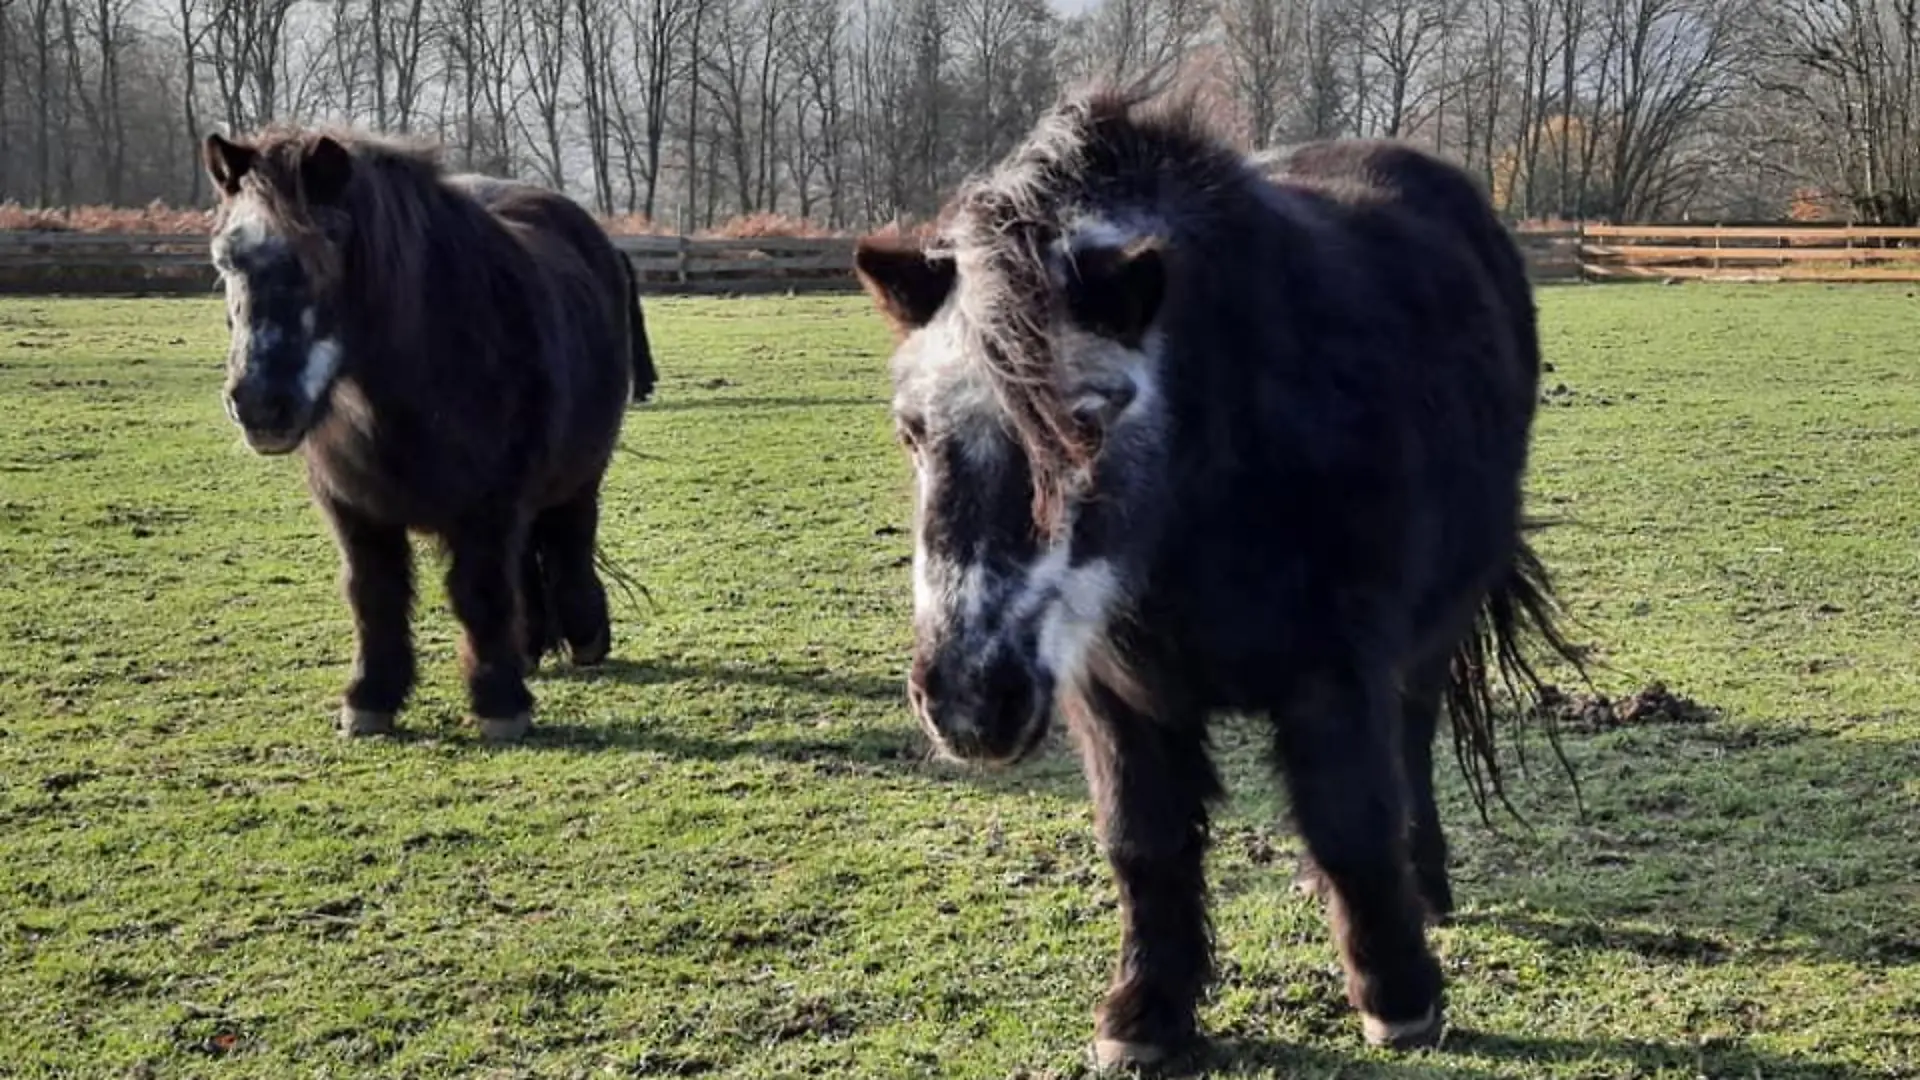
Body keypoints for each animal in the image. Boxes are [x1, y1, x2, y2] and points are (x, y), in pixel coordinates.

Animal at [201, 125, 654, 743]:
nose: (259, 403)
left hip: (581, 471)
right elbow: (374, 596)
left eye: (328, 247)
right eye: (225, 260)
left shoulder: (489, 508)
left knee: (570, 537)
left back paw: (583, 636)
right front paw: (370, 699)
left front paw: (498, 704)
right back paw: (530, 645)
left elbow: (480, 593)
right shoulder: (355, 510)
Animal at [852, 87, 1583, 1066]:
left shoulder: (1334, 673)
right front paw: (1145, 1015)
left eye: (1088, 424)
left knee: (1412, 742)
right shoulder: (1109, 688)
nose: (969, 702)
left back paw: (1424, 888)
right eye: (913, 429)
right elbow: (1144, 842)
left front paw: (1400, 997)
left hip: (1431, 632)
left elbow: (1352, 818)